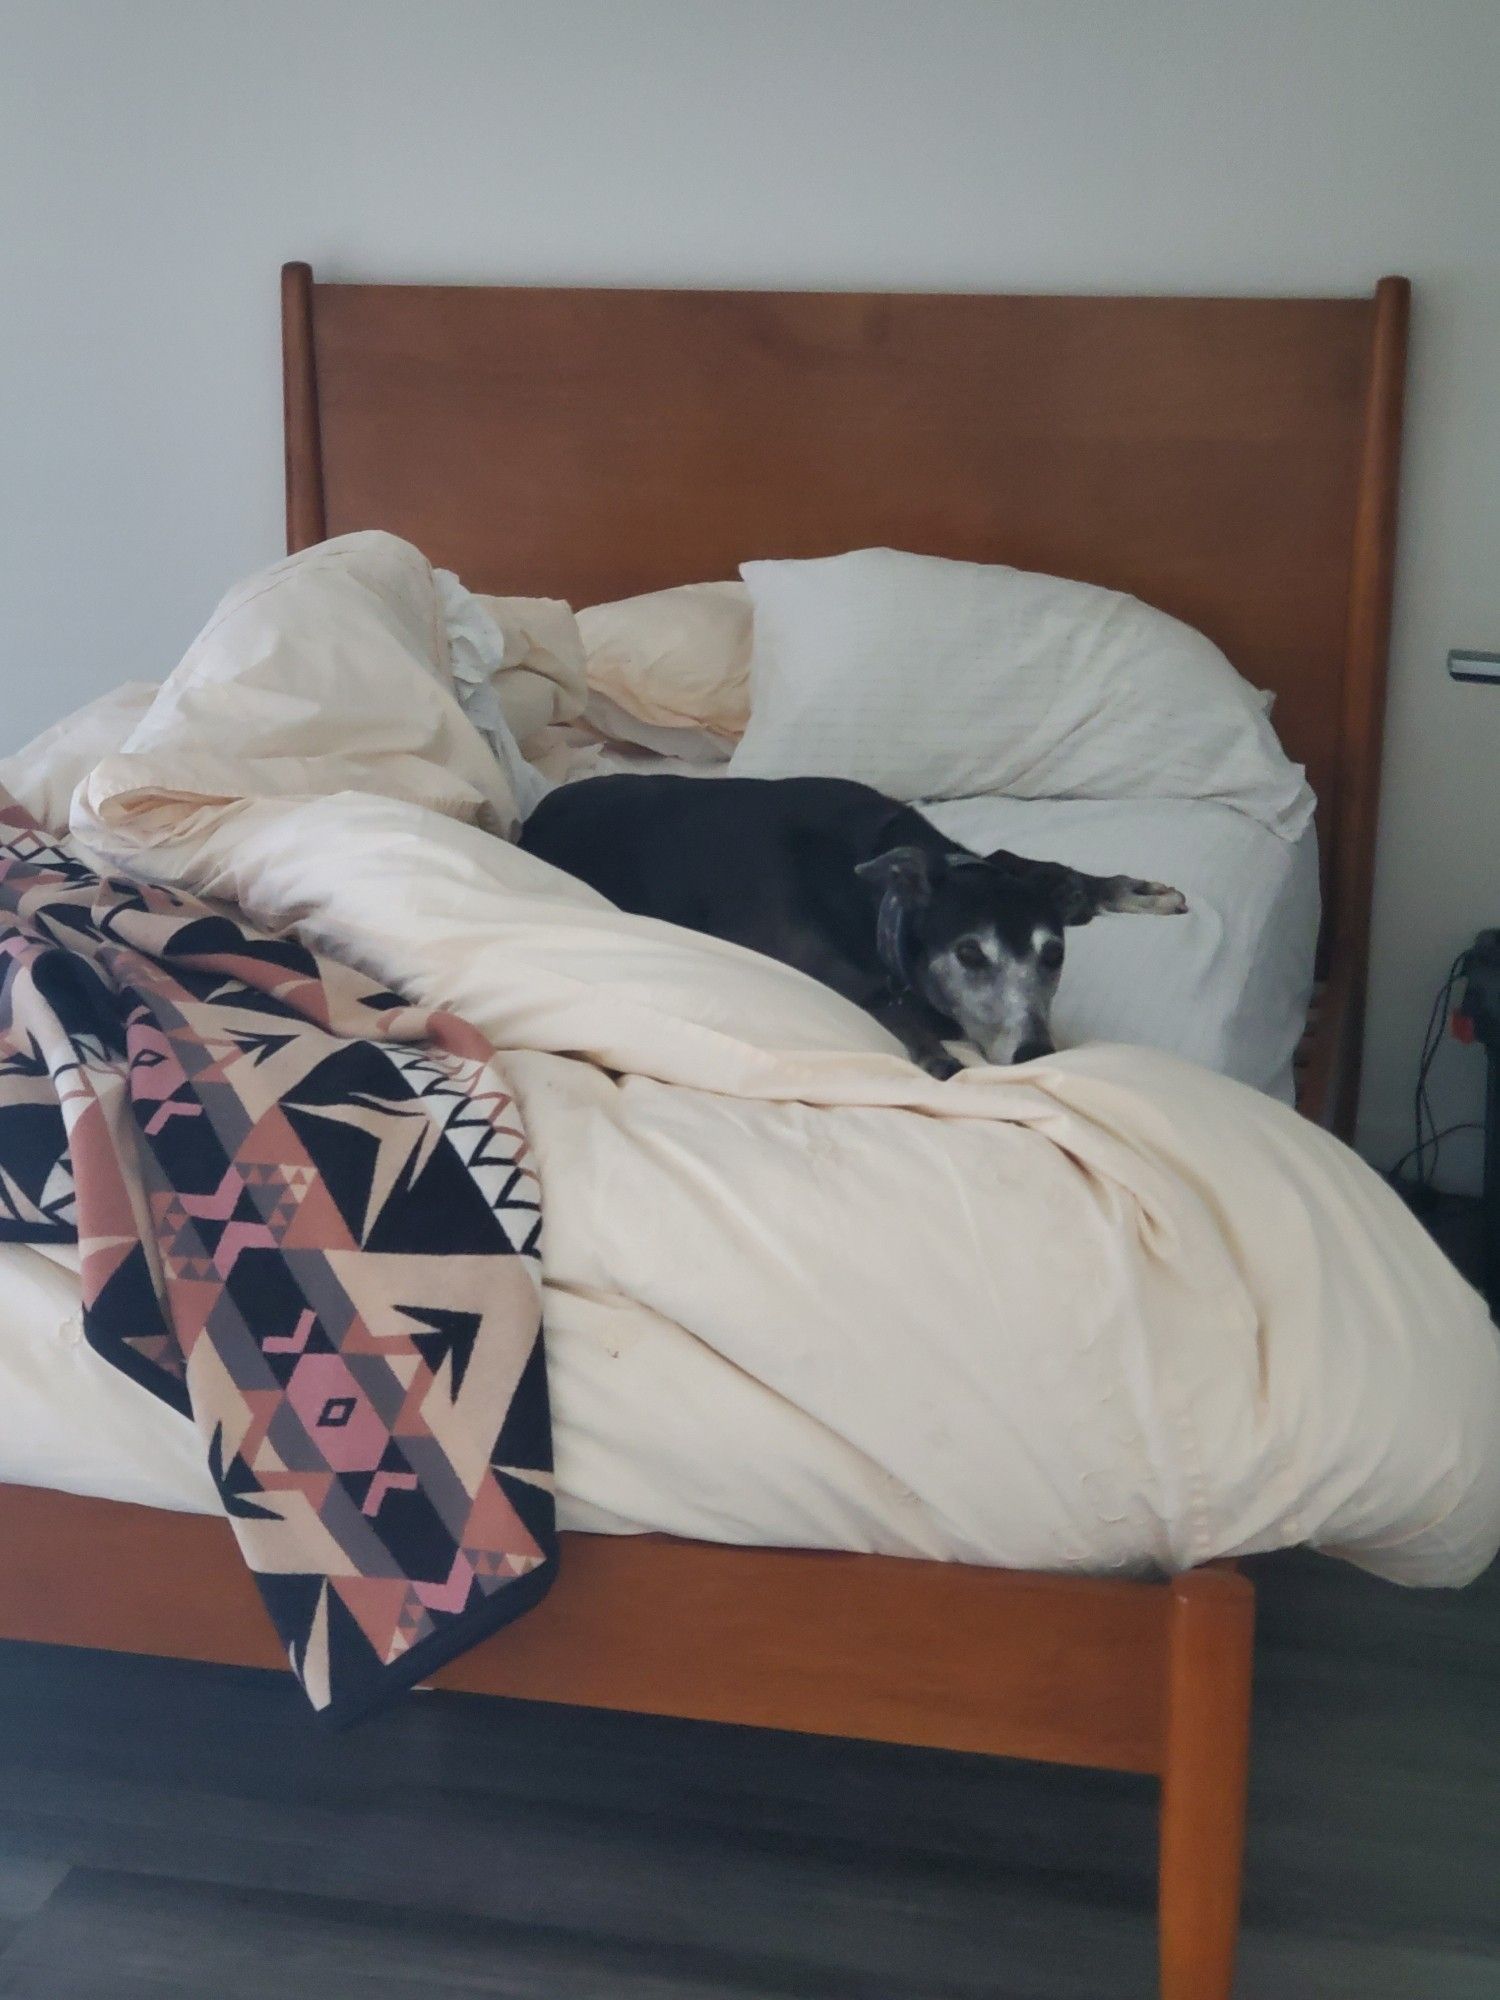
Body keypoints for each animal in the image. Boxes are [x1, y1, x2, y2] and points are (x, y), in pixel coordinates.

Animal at [524, 768, 1192, 1080]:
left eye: (1054, 954)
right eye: (970, 954)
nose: (1033, 1053)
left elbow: (1037, 868)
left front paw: (1127, 890)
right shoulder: (841, 976)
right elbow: (915, 1029)